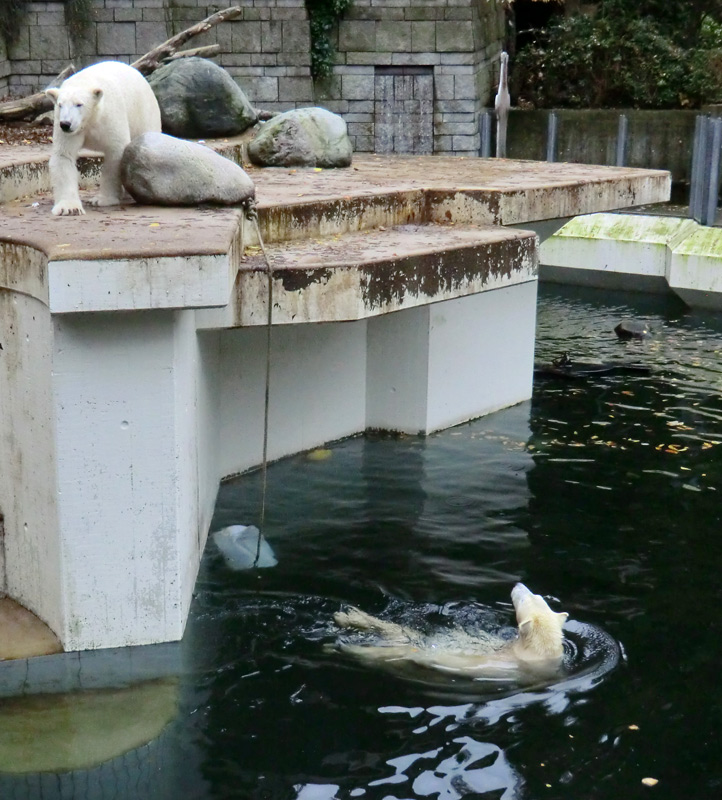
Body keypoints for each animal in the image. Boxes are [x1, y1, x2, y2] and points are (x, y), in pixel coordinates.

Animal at [45, 60, 160, 216]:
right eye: (60, 104)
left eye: (79, 104)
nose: (66, 124)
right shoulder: (67, 129)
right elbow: (64, 155)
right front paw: (69, 208)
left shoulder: (110, 117)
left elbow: (115, 152)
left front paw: (103, 200)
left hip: (143, 112)